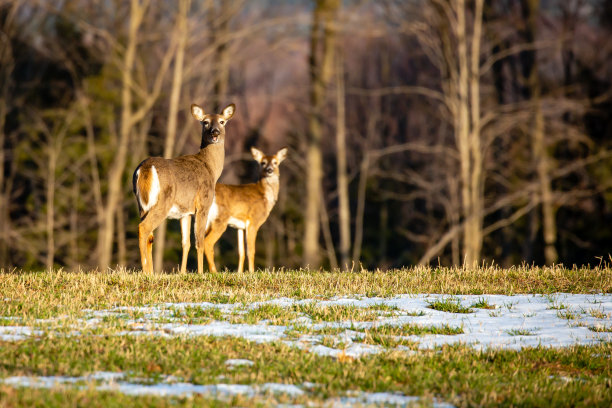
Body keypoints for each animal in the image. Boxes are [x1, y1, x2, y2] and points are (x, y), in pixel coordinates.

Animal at [133, 102, 235, 274]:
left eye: (222, 122)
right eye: (205, 122)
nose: (215, 132)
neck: (211, 168)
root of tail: (146, 168)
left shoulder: (185, 212)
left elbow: (185, 243)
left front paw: (182, 272)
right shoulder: (203, 204)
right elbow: (199, 241)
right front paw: (200, 273)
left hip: (142, 205)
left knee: (150, 236)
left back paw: (151, 272)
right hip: (164, 201)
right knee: (144, 228)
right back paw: (145, 270)